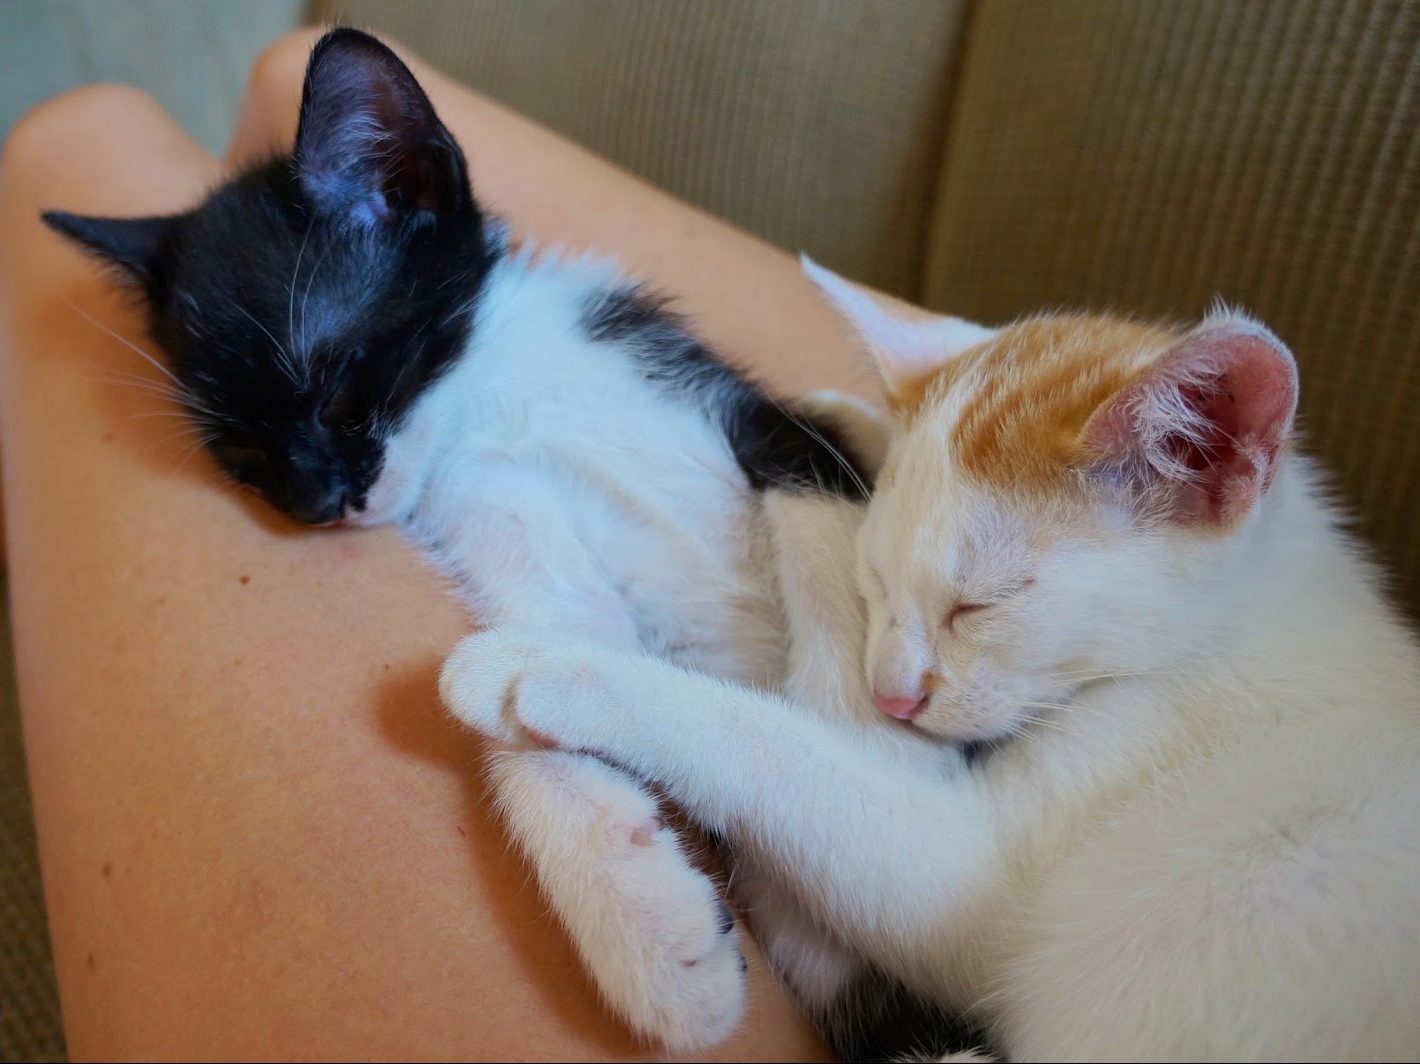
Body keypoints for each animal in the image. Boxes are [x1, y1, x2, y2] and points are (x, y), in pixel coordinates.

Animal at [44, 29, 954, 1056]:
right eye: (244, 458)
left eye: (338, 389)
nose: (316, 502)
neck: (493, 400)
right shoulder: (496, 515)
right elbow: (549, 663)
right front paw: (641, 921)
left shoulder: (768, 421)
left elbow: (821, 523)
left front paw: (856, 736)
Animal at [443, 261, 1420, 1056]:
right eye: (875, 578)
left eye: (979, 604)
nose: (893, 695)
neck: (1240, 627)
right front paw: (843, 414)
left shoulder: (979, 877)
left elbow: (775, 750)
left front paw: (541, 670)